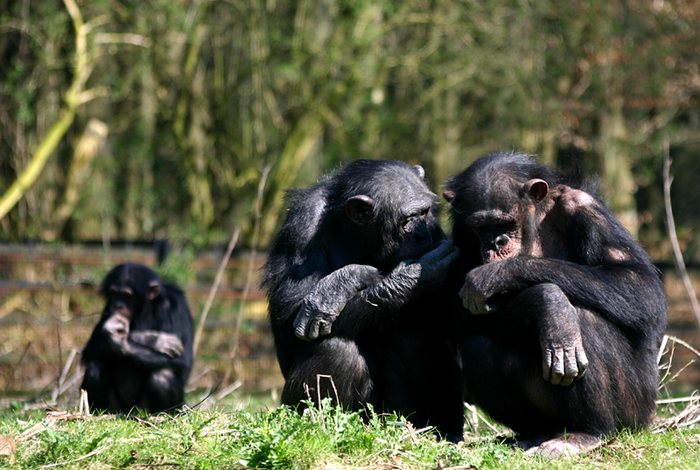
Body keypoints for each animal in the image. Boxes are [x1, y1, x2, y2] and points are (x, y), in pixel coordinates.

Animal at [80, 262, 193, 414]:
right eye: (114, 293)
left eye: (127, 295)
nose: (118, 305)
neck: (146, 308)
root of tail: (130, 412)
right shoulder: (107, 307)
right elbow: (92, 346)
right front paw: (153, 339)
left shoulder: (176, 305)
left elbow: (183, 360)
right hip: (117, 408)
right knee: (95, 369)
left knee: (163, 377)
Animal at [262, 159, 464, 440]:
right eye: (407, 219)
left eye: (424, 213)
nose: (422, 235)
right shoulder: (301, 225)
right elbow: (289, 314)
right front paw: (344, 284)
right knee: (337, 348)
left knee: (415, 336)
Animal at [442, 152, 668, 458]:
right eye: (480, 227)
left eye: (505, 222)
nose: (495, 242)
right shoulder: (462, 233)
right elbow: (455, 313)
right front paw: (548, 303)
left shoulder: (583, 207)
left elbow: (640, 286)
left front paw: (501, 276)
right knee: (479, 346)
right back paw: (534, 434)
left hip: (635, 413)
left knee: (585, 320)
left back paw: (587, 433)